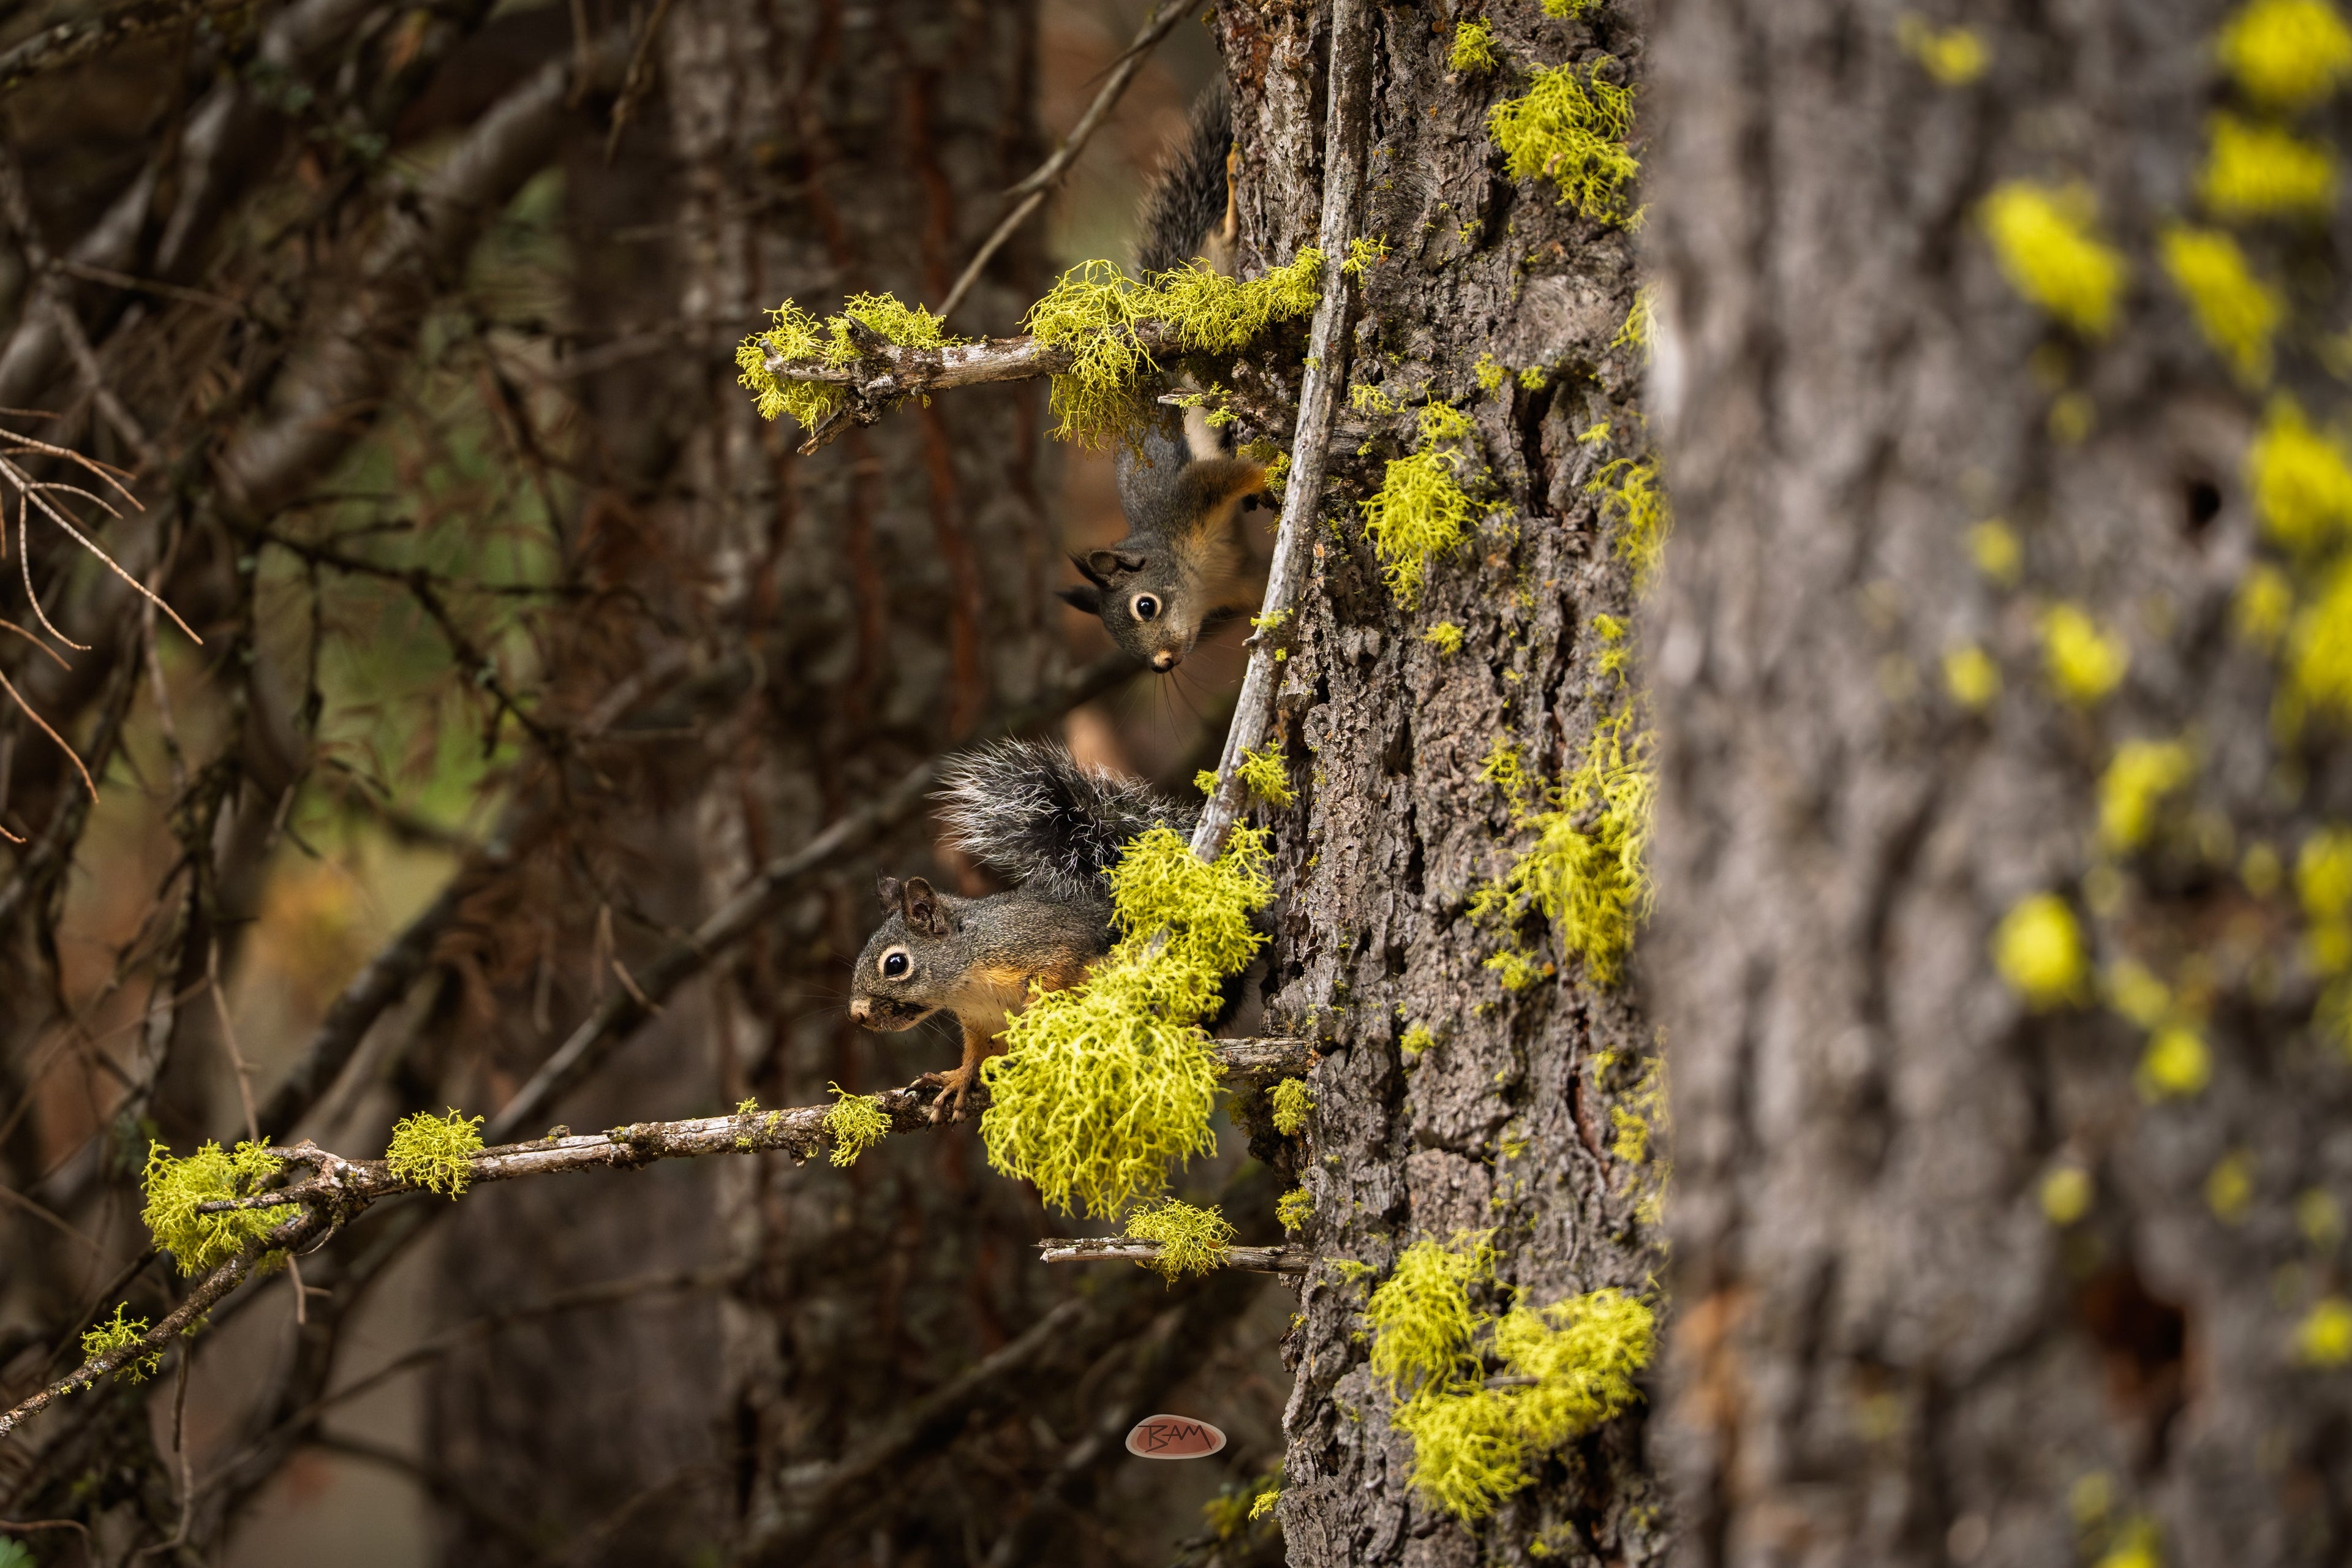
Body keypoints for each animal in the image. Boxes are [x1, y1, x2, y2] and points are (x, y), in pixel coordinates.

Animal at [848, 740, 1200, 1122]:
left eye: (896, 964)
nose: (857, 1015)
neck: (968, 983)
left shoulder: (1039, 943)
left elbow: (1054, 976)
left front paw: (1033, 1019)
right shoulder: (980, 1023)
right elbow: (977, 1054)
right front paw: (958, 1079)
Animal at [1056, 80, 1270, 675]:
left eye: (1145, 606)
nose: (1163, 663)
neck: (1201, 577)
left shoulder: (1192, 498)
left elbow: (1235, 474)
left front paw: (1277, 469)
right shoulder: (1239, 582)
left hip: (1211, 275)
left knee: (1217, 239)